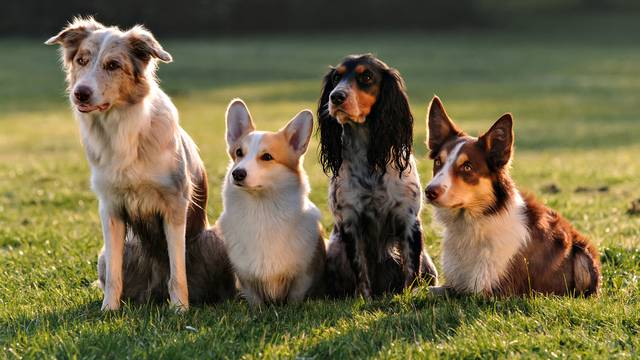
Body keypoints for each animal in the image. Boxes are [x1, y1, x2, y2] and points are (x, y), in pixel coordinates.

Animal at [45, 16, 235, 310]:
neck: (120, 128)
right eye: (81, 60)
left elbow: (177, 270)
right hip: (110, 253)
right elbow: (115, 274)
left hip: (213, 239)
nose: (80, 94)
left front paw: (180, 310)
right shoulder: (110, 208)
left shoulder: (174, 204)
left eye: (113, 65)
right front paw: (108, 310)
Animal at [219, 99, 328, 306]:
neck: (262, 210)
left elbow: (295, 298)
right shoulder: (246, 279)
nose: (237, 173)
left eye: (267, 157)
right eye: (239, 152)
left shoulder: (303, 276)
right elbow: (255, 301)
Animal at [318, 52, 438, 298]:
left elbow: (410, 268)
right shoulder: (350, 221)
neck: (369, 160)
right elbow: (361, 269)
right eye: (336, 77)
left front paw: (407, 296)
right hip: (334, 251)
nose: (336, 97)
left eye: (366, 77)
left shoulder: (408, 220)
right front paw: (364, 299)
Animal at [424, 94, 600, 296]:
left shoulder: (490, 292)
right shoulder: (455, 283)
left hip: (583, 256)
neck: (473, 223)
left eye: (467, 167)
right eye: (438, 162)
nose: (429, 191)